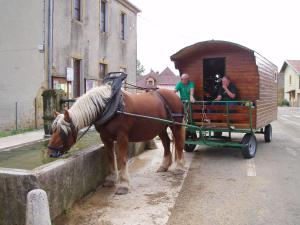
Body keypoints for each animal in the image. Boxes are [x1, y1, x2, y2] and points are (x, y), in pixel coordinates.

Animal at [47, 85, 185, 195]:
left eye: (63, 132)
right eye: (53, 129)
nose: (50, 153)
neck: (110, 107)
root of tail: (174, 95)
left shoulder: (122, 137)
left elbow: (122, 159)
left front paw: (123, 185)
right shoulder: (105, 137)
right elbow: (110, 157)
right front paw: (111, 179)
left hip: (176, 126)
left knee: (178, 144)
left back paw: (179, 167)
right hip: (161, 128)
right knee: (166, 143)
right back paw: (164, 166)